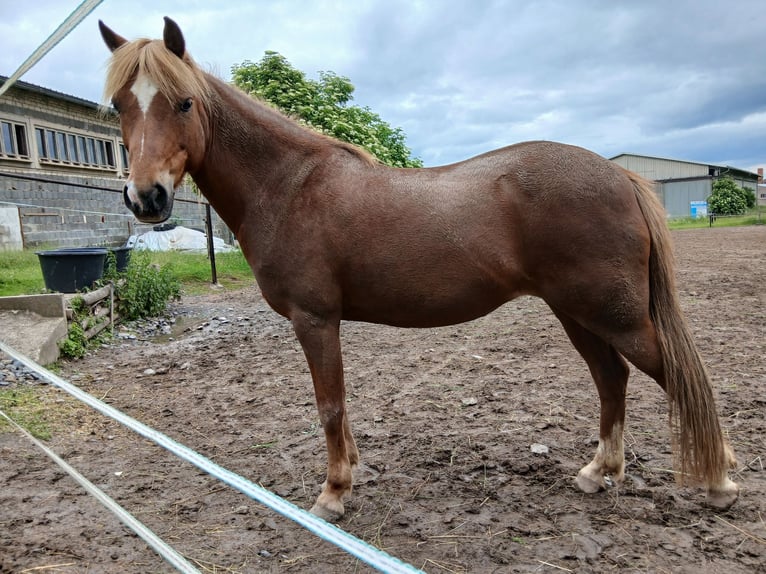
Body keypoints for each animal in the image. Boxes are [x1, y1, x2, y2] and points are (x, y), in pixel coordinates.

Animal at [99, 17, 739, 522]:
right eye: (120, 105)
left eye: (183, 102)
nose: (147, 198)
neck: (289, 186)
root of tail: (620, 176)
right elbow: (341, 405)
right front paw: (352, 472)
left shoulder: (314, 320)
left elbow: (329, 406)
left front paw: (334, 493)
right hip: (578, 313)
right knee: (612, 379)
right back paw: (600, 471)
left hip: (615, 315)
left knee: (675, 375)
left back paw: (721, 480)